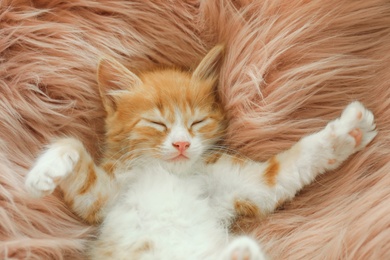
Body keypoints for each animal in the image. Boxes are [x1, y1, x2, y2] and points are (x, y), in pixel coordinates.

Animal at [25, 46, 378, 260]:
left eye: (197, 121)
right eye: (157, 123)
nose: (182, 144)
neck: (171, 175)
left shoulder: (247, 187)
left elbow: (292, 164)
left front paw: (348, 133)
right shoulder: (103, 197)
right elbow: (74, 152)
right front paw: (48, 167)